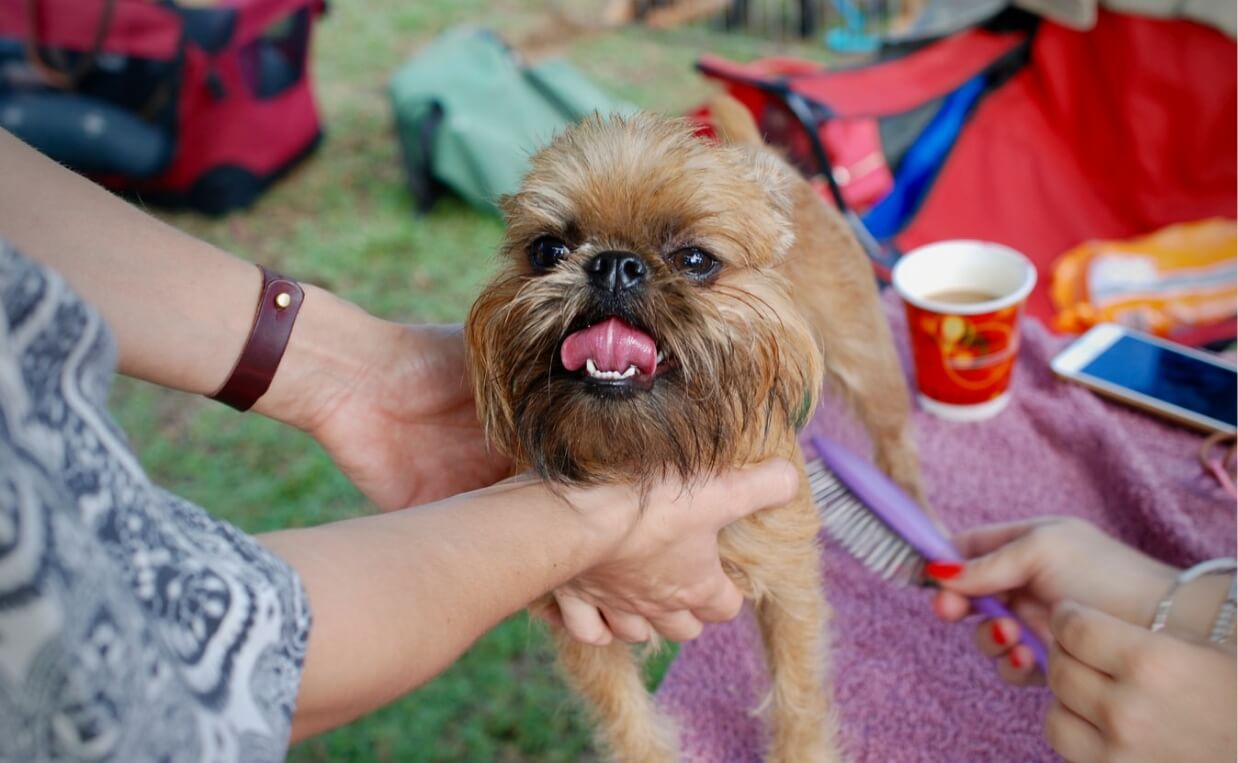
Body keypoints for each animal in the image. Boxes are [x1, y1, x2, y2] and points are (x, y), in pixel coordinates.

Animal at [465, 95, 930, 763]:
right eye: (547, 251)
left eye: (694, 260)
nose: (613, 265)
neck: (650, 462)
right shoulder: (584, 621)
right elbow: (626, 720)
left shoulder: (789, 586)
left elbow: (796, 694)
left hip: (864, 356)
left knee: (895, 438)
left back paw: (911, 515)